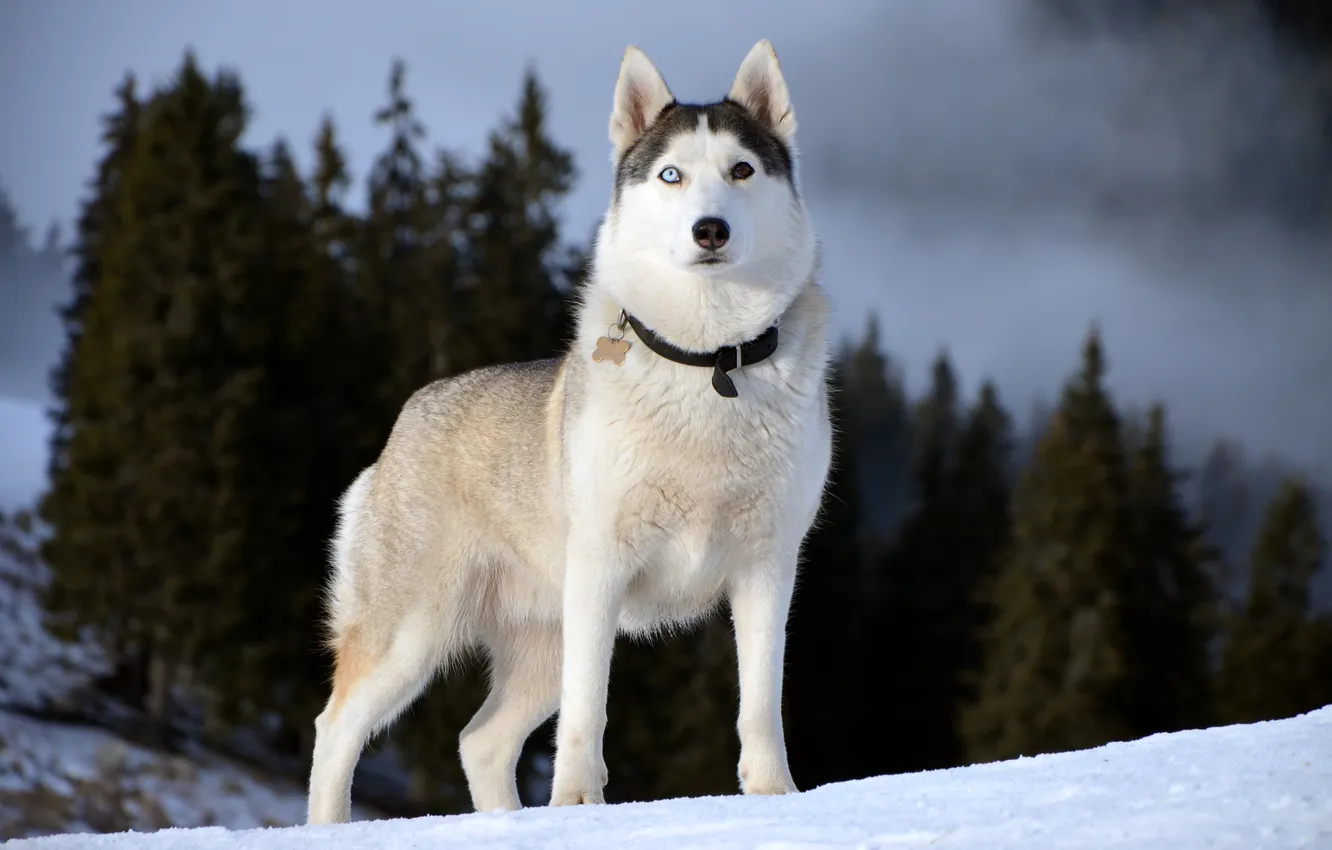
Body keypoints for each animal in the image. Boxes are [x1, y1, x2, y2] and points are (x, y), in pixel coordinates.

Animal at [306, 39, 825, 826]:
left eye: (742, 169)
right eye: (671, 175)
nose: (710, 230)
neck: (707, 362)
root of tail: (403, 426)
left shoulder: (767, 568)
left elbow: (760, 703)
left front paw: (775, 798)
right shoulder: (602, 571)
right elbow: (590, 712)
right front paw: (579, 804)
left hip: (534, 648)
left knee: (481, 742)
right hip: (413, 636)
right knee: (336, 729)